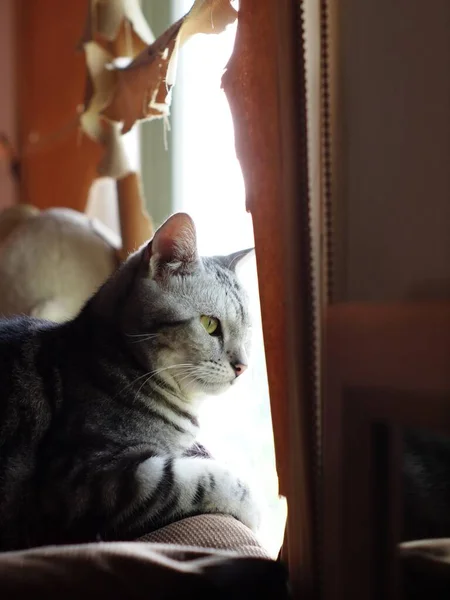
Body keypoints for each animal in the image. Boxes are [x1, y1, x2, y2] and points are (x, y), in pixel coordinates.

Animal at [0, 212, 260, 552]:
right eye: (209, 324)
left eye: (248, 330)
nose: (243, 366)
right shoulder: (84, 482)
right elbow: (192, 480)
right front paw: (251, 502)